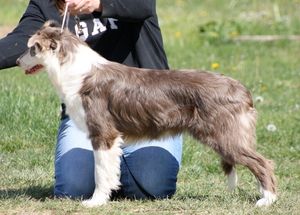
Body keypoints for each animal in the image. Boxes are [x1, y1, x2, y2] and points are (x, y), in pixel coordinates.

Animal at [16, 21, 276, 207]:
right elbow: (109, 170)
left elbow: (100, 172)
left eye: (32, 48)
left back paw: (267, 200)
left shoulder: (103, 133)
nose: (18, 61)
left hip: (225, 136)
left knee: (263, 163)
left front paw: (94, 202)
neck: (74, 70)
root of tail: (242, 89)